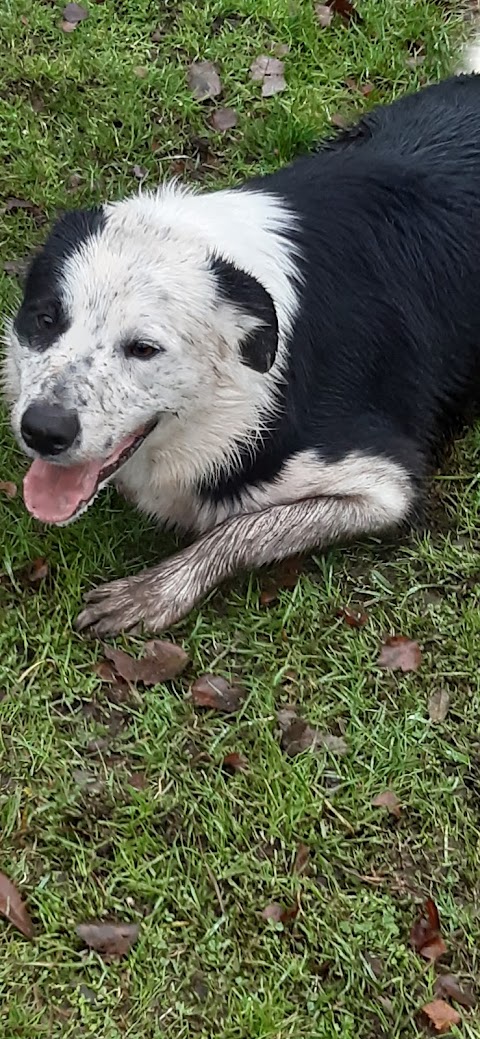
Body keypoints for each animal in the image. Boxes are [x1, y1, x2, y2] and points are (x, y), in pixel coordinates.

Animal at [2, 64, 480, 635]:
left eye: (143, 348)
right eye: (46, 320)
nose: (43, 431)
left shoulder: (385, 482)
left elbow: (239, 529)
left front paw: (154, 592)